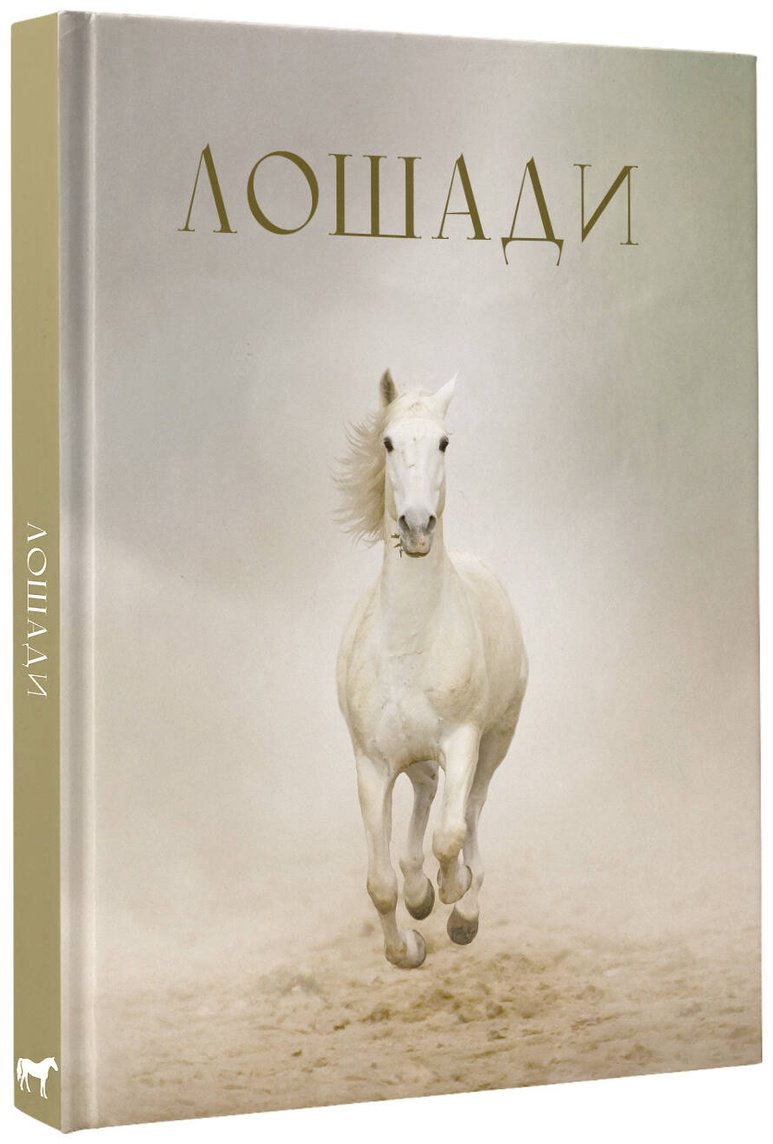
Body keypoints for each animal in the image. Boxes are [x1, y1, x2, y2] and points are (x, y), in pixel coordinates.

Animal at [336, 371, 528, 968]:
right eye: (387, 442)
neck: (409, 642)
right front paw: (409, 945)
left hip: (496, 741)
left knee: (471, 809)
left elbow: (451, 833)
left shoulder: (462, 740)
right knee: (423, 795)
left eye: (444, 442)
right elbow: (380, 882)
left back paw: (462, 903)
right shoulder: (372, 765)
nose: (418, 526)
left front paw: (454, 899)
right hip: (414, 757)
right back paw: (421, 892)